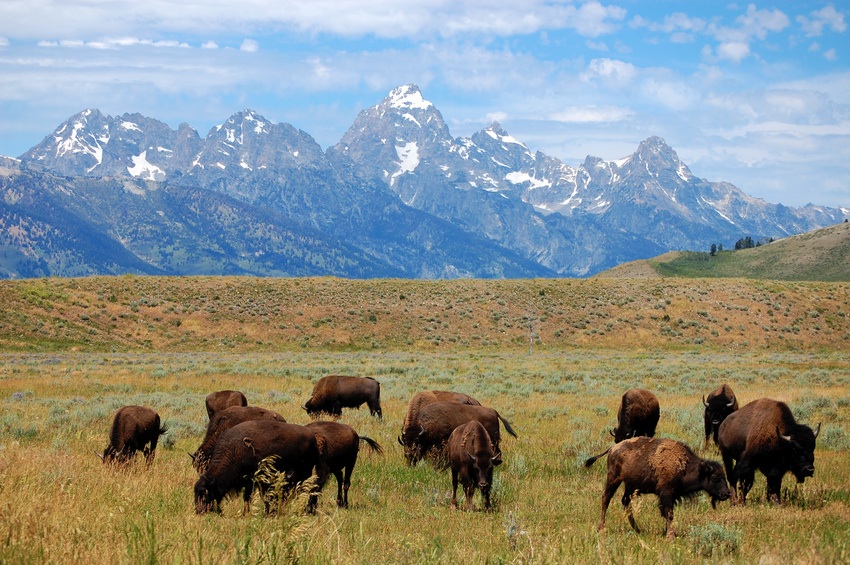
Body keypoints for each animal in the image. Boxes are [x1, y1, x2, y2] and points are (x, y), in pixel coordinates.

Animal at [194, 418, 326, 516]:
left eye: (204, 493)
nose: (198, 511)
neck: (233, 450)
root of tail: (312, 438)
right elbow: (247, 498)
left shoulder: (255, 481)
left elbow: (253, 497)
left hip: (305, 472)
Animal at [584, 436, 728, 536]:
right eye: (715, 478)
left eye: (725, 477)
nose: (727, 494)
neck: (686, 465)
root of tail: (613, 448)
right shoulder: (666, 493)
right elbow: (669, 514)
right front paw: (670, 535)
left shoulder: (671, 496)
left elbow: (667, 513)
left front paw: (668, 532)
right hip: (613, 479)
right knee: (606, 499)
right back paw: (602, 528)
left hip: (630, 486)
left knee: (625, 502)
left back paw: (638, 529)